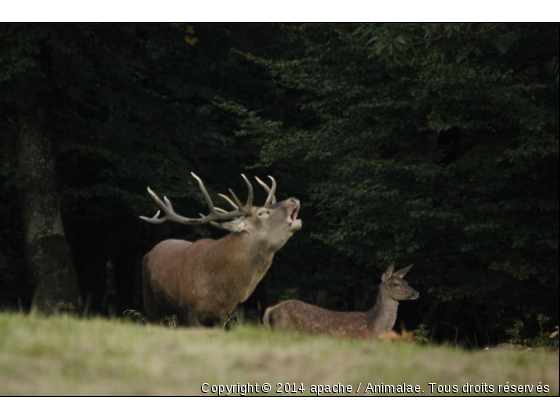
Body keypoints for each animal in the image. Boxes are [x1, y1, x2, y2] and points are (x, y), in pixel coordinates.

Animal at [264, 264, 418, 340]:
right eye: (396, 284)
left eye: (406, 282)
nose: (416, 293)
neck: (374, 328)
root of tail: (270, 310)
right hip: (284, 330)